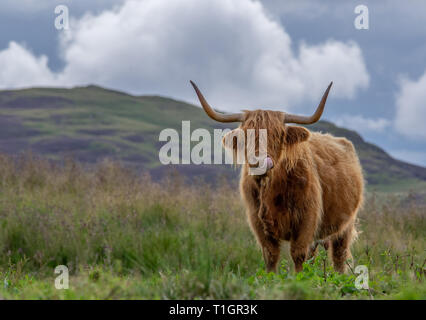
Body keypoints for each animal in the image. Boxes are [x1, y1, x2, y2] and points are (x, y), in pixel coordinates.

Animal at [191, 80, 364, 272]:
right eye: (246, 135)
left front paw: (300, 278)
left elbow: (299, 255)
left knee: (339, 257)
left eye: (277, 135)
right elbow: (270, 256)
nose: (260, 161)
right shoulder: (257, 222)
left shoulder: (307, 219)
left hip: (346, 225)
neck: (272, 188)